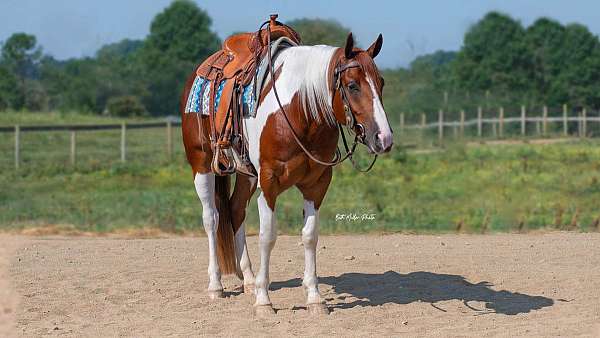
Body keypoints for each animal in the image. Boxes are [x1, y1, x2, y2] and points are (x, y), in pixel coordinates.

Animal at [178, 31, 394, 316]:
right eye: (352, 85)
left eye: (381, 82)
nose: (384, 138)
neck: (300, 110)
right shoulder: (269, 183)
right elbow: (268, 236)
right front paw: (264, 301)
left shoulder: (317, 184)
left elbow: (310, 236)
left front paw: (314, 298)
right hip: (201, 164)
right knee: (211, 218)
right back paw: (216, 286)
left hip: (247, 173)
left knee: (235, 210)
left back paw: (248, 279)